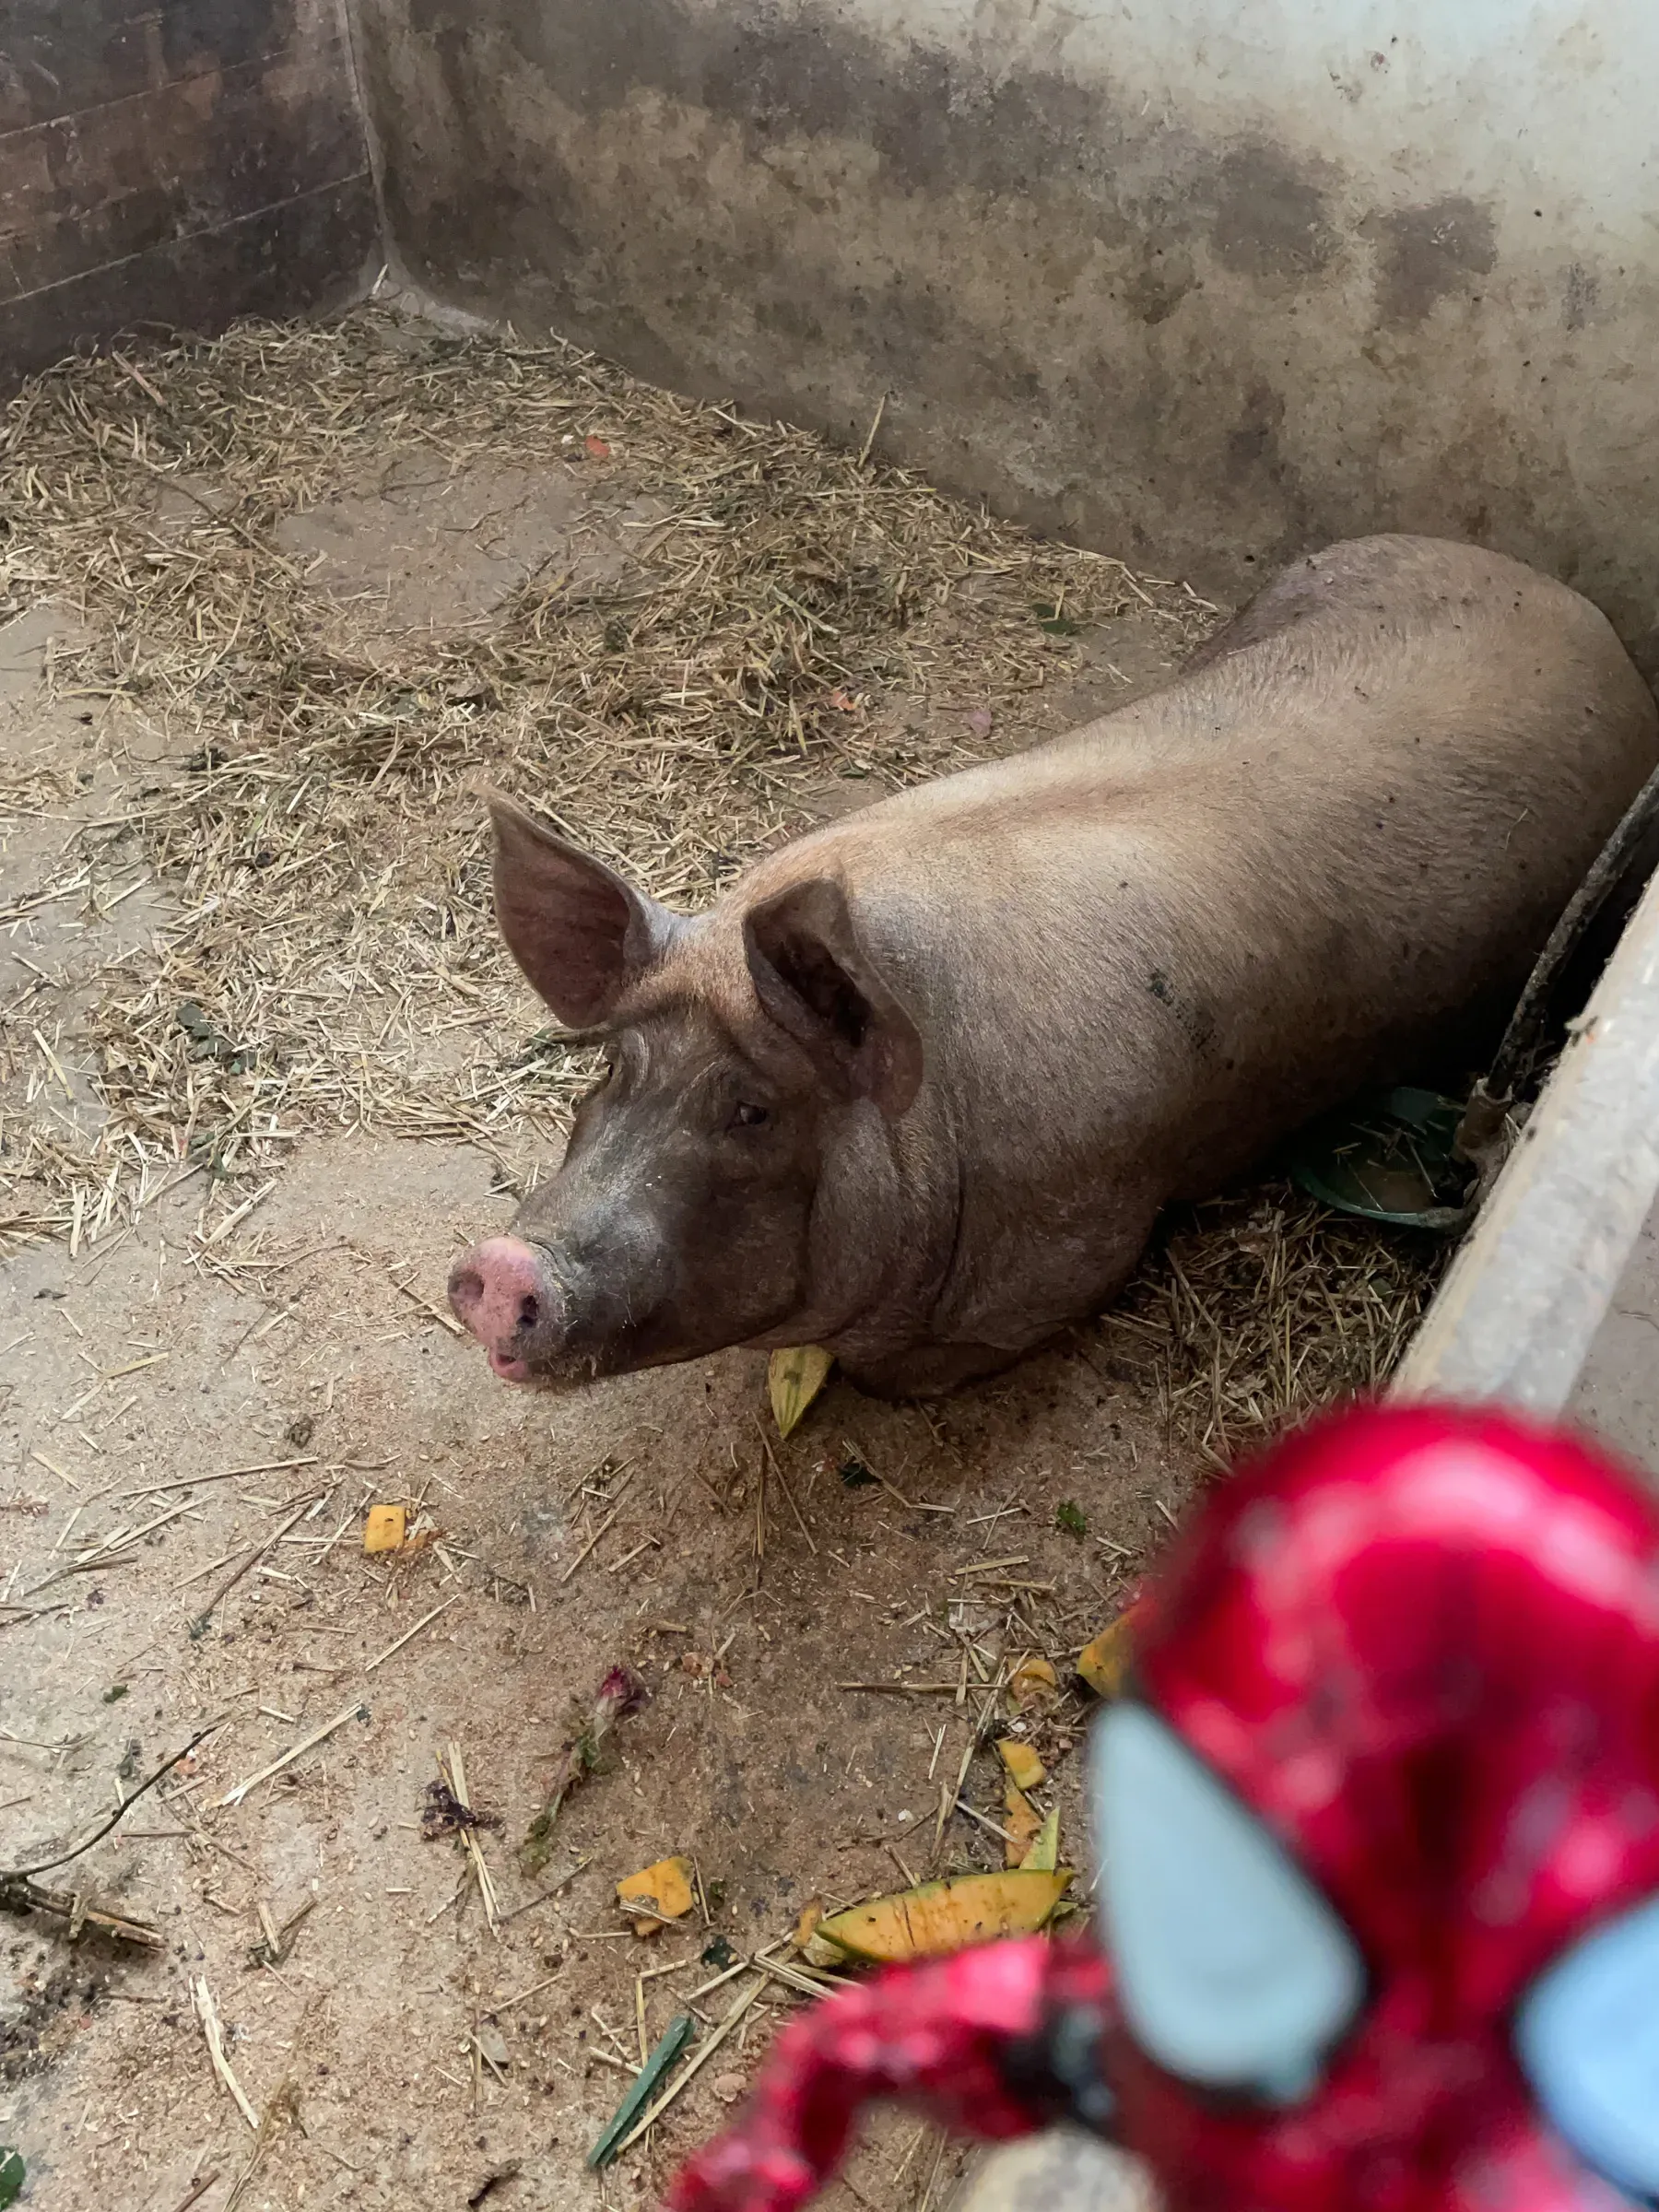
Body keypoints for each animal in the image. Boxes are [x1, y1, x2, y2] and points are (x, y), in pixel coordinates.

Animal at [448, 534, 1658, 1397]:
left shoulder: (1079, 1245)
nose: (504, 1268)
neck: (938, 1107)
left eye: (752, 1110)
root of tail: (1574, 604)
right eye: (612, 1069)